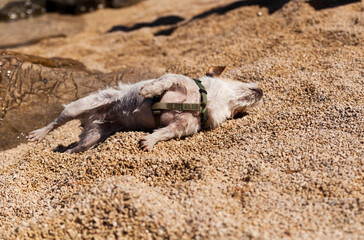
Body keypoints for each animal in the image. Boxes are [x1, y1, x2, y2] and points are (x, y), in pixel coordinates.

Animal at [27, 66, 262, 152]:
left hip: (93, 137)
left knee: (78, 147)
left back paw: (66, 153)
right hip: (78, 107)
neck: (205, 99)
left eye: (238, 114)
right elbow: (165, 82)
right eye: (240, 80)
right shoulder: (178, 81)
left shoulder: (183, 126)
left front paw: (150, 140)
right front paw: (148, 90)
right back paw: (39, 134)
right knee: (57, 121)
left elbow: (166, 132)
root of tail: (90, 119)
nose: (262, 91)